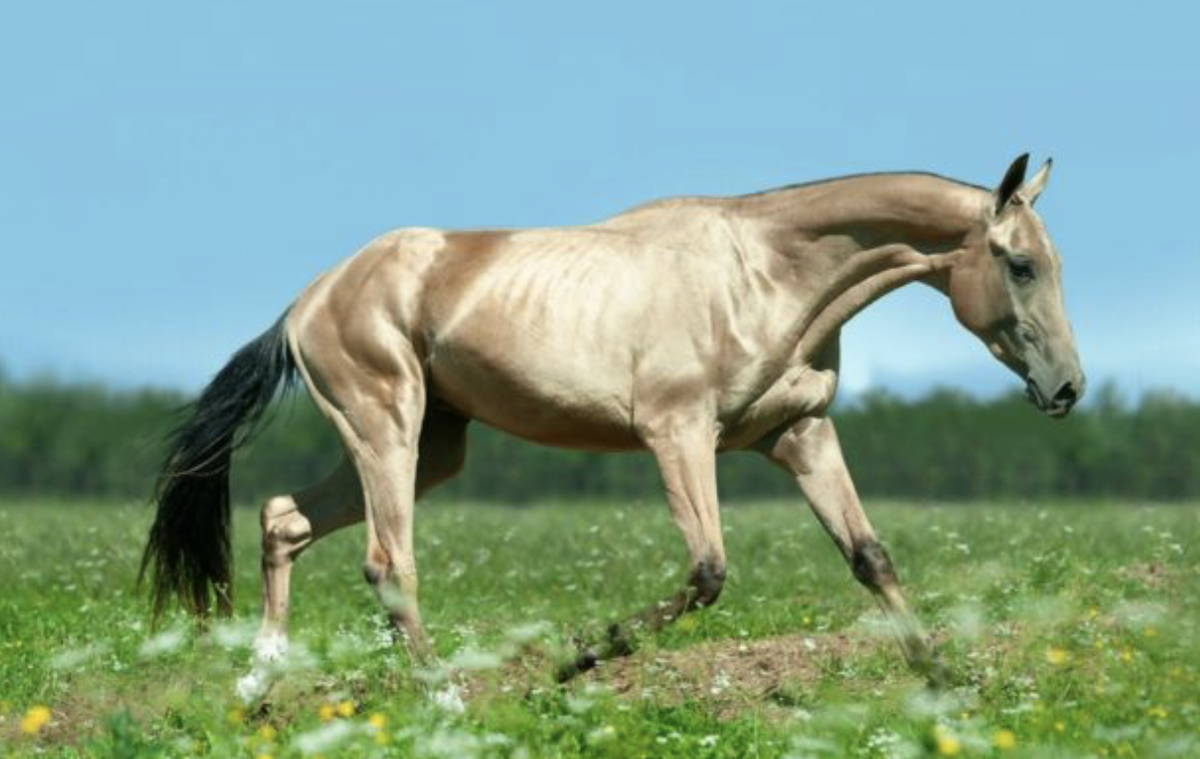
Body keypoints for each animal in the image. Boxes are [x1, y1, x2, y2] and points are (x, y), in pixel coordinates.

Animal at [140, 152, 1089, 701]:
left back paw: (257, 686)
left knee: (282, 519)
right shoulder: (679, 435)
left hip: (434, 446)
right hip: (388, 426)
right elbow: (708, 570)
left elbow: (870, 556)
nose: (1068, 388)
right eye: (1018, 263)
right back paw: (444, 696)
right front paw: (576, 660)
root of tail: (309, 299)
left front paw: (946, 686)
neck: (765, 274)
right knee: (387, 561)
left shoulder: (800, 432)